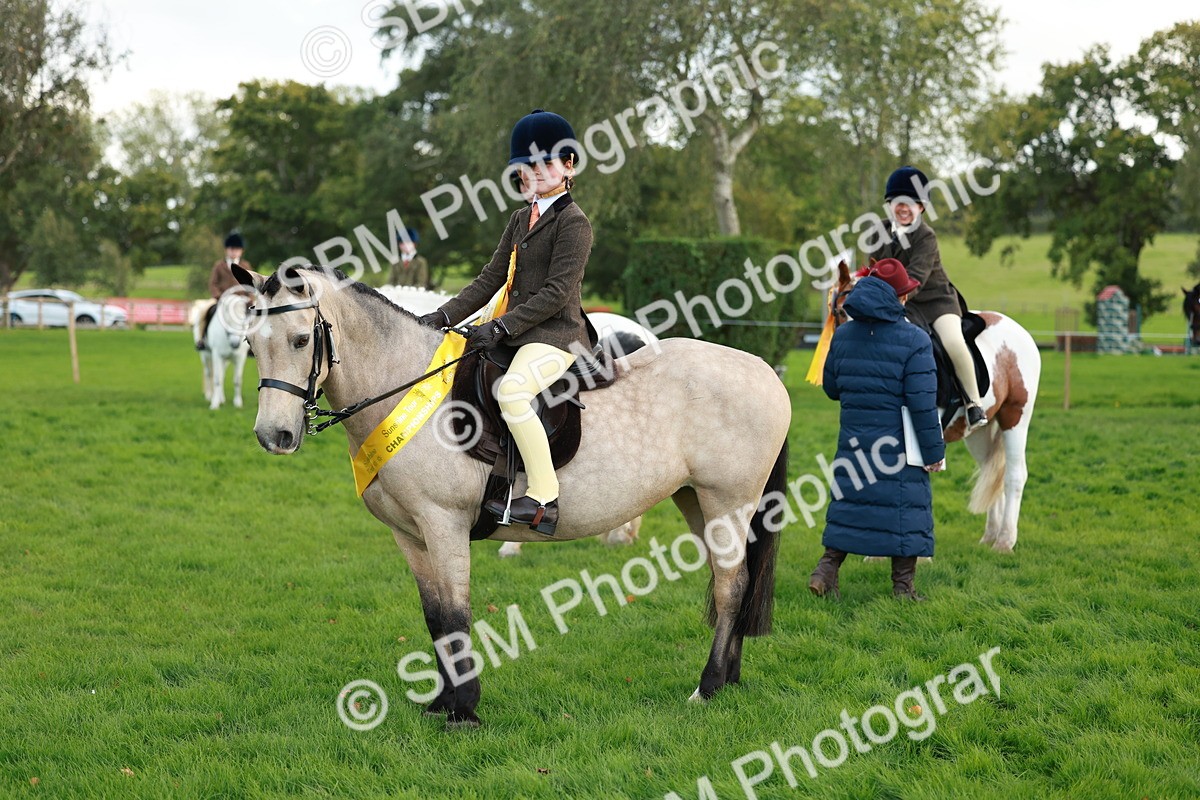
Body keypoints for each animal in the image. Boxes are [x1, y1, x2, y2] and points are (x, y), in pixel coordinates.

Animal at [233, 264, 791, 728]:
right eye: (251, 344)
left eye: (301, 339)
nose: (274, 436)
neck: (403, 388)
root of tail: (763, 370)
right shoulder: (410, 535)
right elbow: (435, 617)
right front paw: (440, 704)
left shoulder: (444, 525)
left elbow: (456, 616)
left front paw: (463, 712)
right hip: (697, 501)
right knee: (733, 579)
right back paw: (730, 680)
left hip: (728, 500)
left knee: (730, 587)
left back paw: (709, 687)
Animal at [823, 262, 1040, 553]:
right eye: (839, 311)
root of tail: (1018, 329)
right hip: (980, 432)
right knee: (989, 470)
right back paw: (990, 536)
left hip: (1015, 418)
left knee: (1015, 476)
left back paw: (1005, 541)